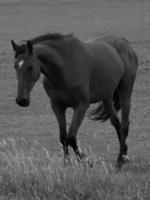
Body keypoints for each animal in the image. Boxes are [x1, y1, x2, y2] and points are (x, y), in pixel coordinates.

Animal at [11, 32, 138, 167]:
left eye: (30, 67)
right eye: (15, 66)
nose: (21, 100)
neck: (65, 69)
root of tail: (125, 43)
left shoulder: (81, 107)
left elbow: (71, 137)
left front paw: (88, 161)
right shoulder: (57, 107)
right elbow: (63, 137)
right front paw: (67, 164)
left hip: (125, 93)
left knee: (124, 125)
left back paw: (120, 160)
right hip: (107, 97)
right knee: (116, 122)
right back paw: (124, 154)